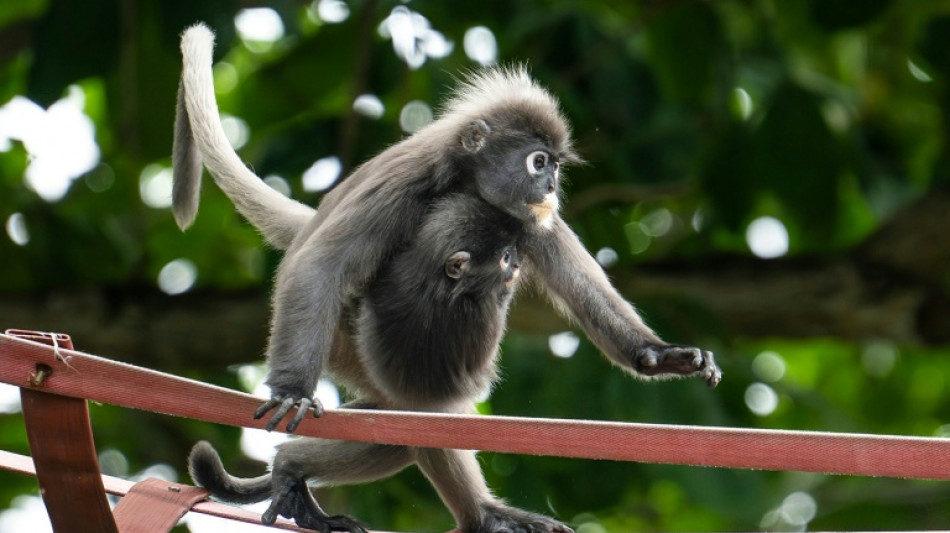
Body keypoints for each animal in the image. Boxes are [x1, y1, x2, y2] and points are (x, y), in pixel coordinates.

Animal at [174, 23, 721, 533]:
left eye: (556, 168)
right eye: (539, 162)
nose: (551, 186)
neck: (467, 184)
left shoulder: (528, 220)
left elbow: (585, 292)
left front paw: (659, 355)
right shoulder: (408, 181)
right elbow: (322, 269)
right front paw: (291, 390)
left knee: (401, 418)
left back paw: (300, 472)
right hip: (345, 342)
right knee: (418, 400)